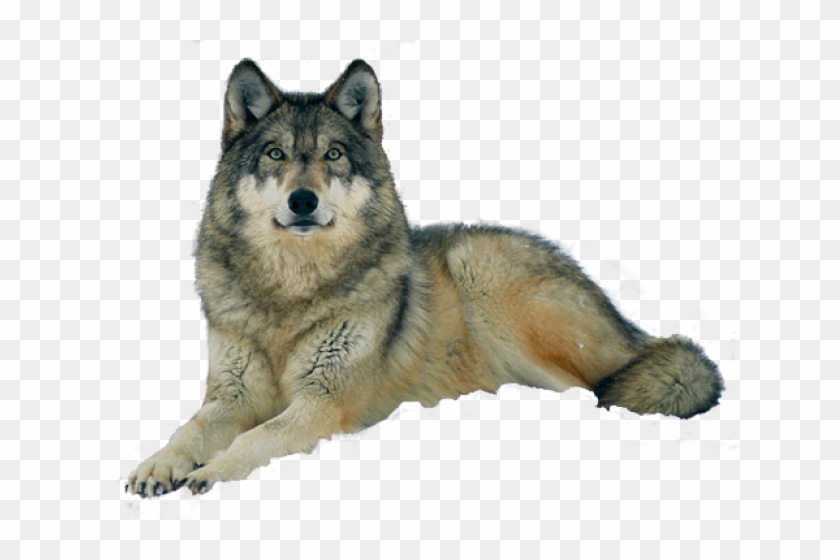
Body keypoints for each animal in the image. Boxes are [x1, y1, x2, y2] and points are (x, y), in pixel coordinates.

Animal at [125, 59, 723, 497]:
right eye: (276, 154)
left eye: (333, 154)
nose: (303, 200)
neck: (291, 291)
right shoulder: (231, 395)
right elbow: (188, 429)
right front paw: (158, 465)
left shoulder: (323, 401)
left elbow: (257, 438)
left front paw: (209, 472)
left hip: (484, 278)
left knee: (595, 386)